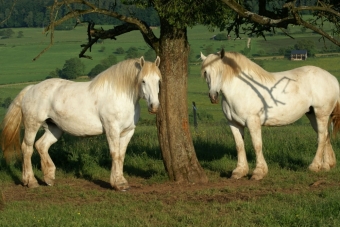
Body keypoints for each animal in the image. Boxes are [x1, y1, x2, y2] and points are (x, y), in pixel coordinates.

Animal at [0, 56, 162, 190]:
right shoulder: (112, 130)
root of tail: (31, 89)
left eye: (158, 81)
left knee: (41, 145)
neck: (120, 96)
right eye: (143, 81)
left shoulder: (128, 132)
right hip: (32, 125)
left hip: (54, 128)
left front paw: (122, 182)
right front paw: (117, 184)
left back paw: (49, 178)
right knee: (27, 149)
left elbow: (121, 155)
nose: (154, 106)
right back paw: (30, 181)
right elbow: (115, 154)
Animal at [201, 50, 340, 181]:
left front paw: (258, 172)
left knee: (321, 137)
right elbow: (239, 146)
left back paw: (314, 166)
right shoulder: (234, 124)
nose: (213, 96)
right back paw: (326, 165)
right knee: (326, 135)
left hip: (321, 114)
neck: (240, 90)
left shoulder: (253, 121)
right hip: (312, 115)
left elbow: (257, 145)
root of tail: (332, 78)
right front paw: (239, 171)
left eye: (221, 71)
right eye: (206, 72)